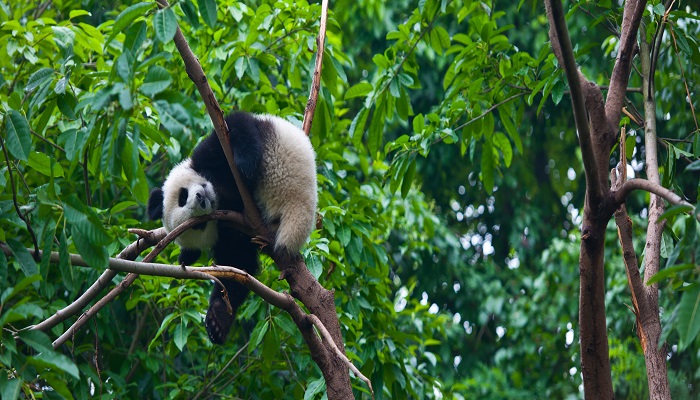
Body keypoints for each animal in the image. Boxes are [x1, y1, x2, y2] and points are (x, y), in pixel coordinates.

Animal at [150, 110, 320, 344]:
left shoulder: (208, 156)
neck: (221, 193)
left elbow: (235, 125)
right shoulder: (230, 233)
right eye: (198, 225)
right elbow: (238, 266)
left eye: (182, 197)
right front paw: (217, 320)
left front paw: (244, 163)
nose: (201, 199)